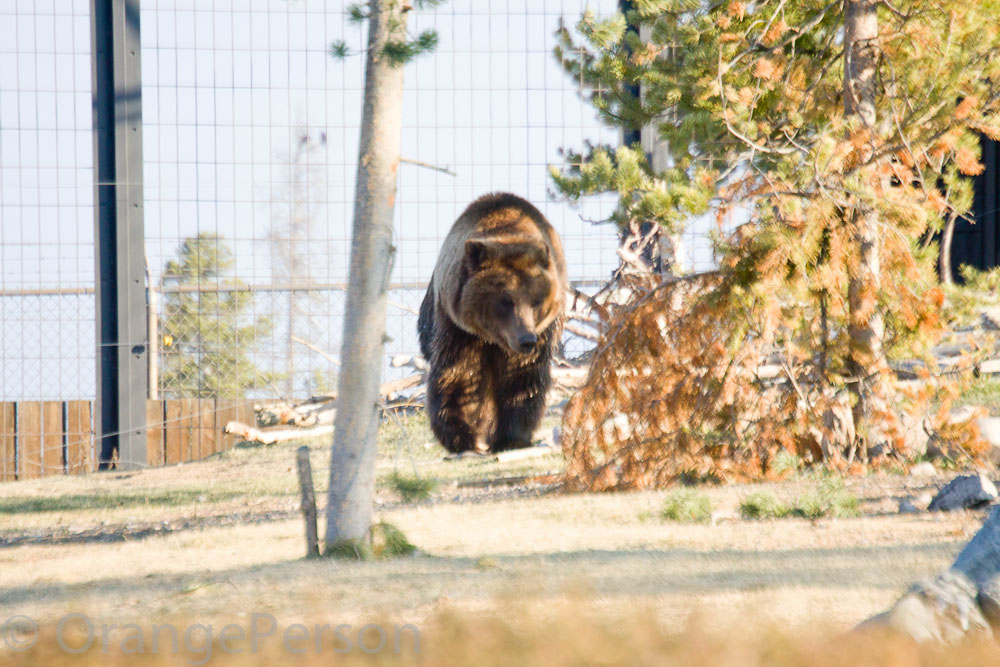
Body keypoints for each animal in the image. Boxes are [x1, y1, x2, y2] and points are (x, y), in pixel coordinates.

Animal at [417, 192, 567, 454]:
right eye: (506, 300)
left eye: (536, 299)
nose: (526, 339)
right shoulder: (459, 329)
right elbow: (459, 376)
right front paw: (463, 435)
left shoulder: (539, 333)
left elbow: (521, 378)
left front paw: (512, 435)